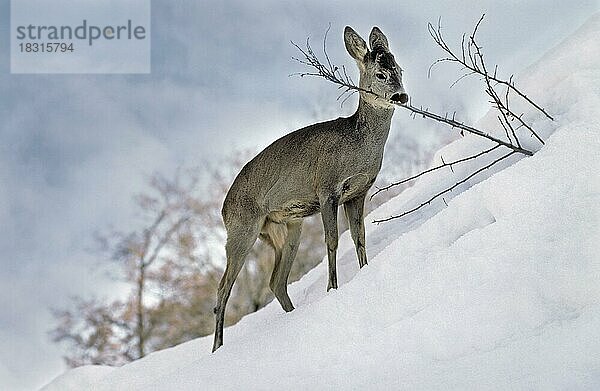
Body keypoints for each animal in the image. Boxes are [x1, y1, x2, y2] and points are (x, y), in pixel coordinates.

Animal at [212, 26, 408, 354]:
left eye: (400, 70)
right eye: (380, 73)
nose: (401, 96)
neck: (358, 147)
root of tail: (223, 210)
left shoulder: (358, 192)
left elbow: (359, 237)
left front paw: (365, 271)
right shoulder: (327, 189)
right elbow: (332, 241)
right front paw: (333, 289)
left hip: (286, 226)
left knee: (276, 281)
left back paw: (293, 316)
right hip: (243, 228)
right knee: (223, 288)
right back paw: (217, 348)